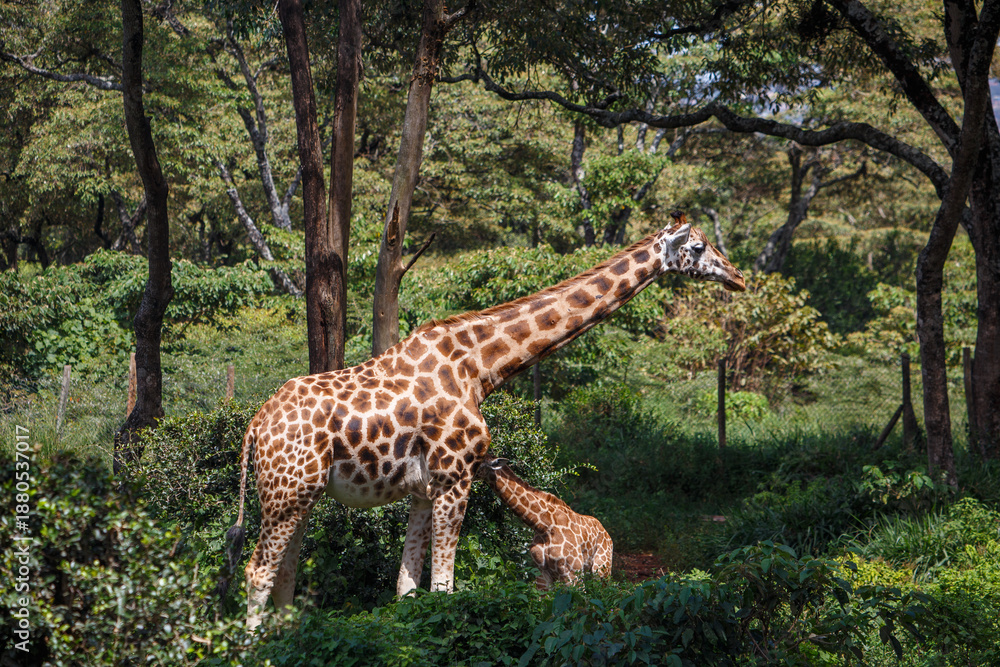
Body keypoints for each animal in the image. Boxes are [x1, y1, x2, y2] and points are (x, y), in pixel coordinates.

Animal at [476, 454, 613, 589]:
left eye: (476, 462)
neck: (543, 526)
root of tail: (608, 535)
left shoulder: (573, 572)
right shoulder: (542, 574)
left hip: (601, 570)